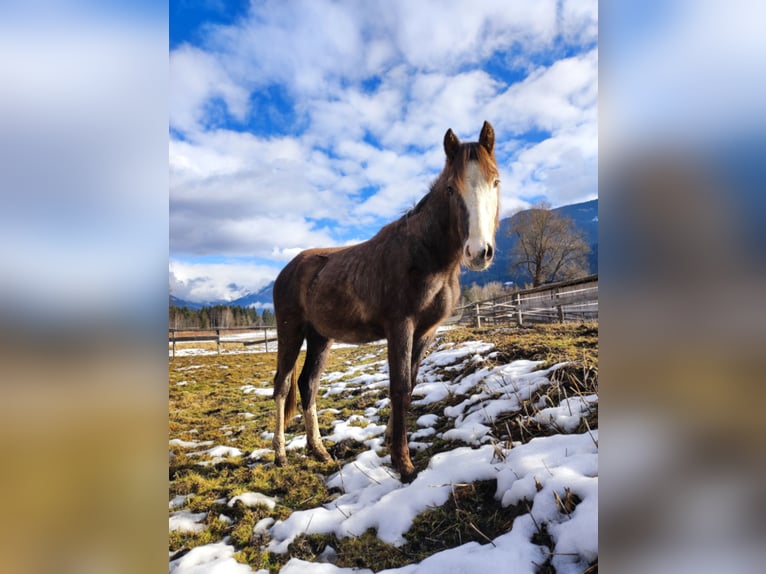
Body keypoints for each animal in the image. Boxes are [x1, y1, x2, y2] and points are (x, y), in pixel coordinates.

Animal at [272, 121, 500, 482]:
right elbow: (399, 387)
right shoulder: (400, 326)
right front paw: (403, 462)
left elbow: (410, 386)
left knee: (308, 385)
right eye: (451, 188)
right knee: (282, 386)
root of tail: (288, 269)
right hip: (290, 331)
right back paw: (280, 455)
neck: (426, 255)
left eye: (495, 181)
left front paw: (392, 445)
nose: (479, 252)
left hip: (320, 337)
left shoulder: (425, 332)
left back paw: (319, 451)